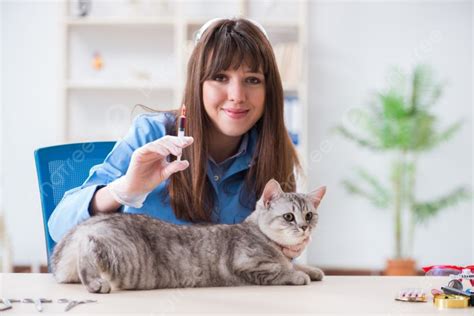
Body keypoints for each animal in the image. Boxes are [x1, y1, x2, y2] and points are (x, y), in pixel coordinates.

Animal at [51, 179, 326, 292]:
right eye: (289, 217)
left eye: (309, 215)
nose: (304, 227)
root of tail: (92, 221)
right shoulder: (248, 265)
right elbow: (280, 271)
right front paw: (299, 275)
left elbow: (293, 264)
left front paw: (311, 270)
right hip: (122, 257)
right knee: (89, 247)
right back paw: (95, 282)